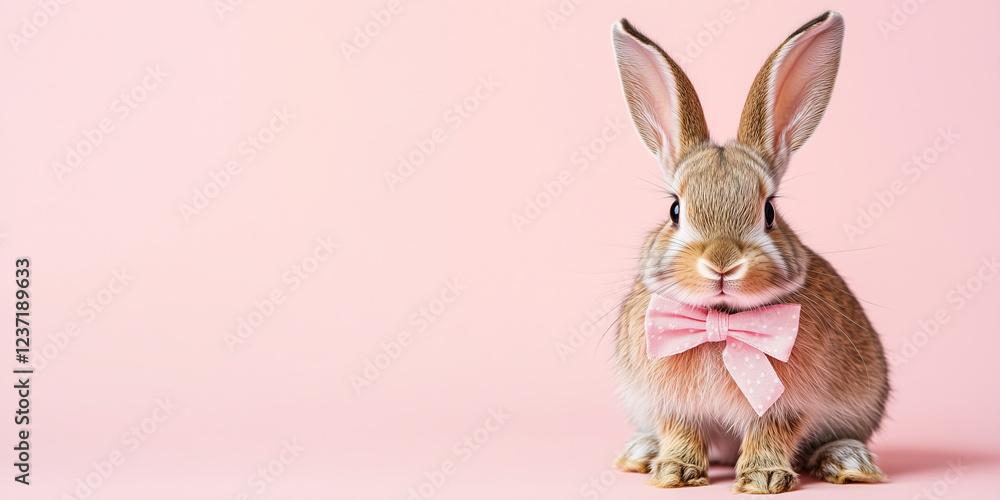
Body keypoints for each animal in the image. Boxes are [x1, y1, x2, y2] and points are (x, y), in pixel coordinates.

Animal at [608, 11, 889, 494]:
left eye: (770, 211)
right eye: (674, 210)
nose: (722, 263)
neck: (720, 322)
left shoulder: (786, 404)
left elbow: (771, 432)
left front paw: (764, 479)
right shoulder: (672, 405)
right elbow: (680, 431)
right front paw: (675, 472)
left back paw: (847, 462)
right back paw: (641, 454)